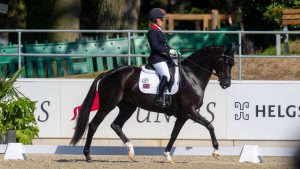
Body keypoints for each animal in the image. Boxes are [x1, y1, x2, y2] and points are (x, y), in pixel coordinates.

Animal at [70, 45, 234, 162]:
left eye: (232, 63)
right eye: (225, 61)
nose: (226, 84)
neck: (191, 76)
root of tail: (107, 74)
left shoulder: (183, 115)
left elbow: (174, 134)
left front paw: (167, 155)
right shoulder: (189, 111)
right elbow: (210, 125)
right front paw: (216, 151)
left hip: (128, 107)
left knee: (116, 125)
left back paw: (131, 151)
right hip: (107, 105)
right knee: (93, 125)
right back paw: (88, 156)